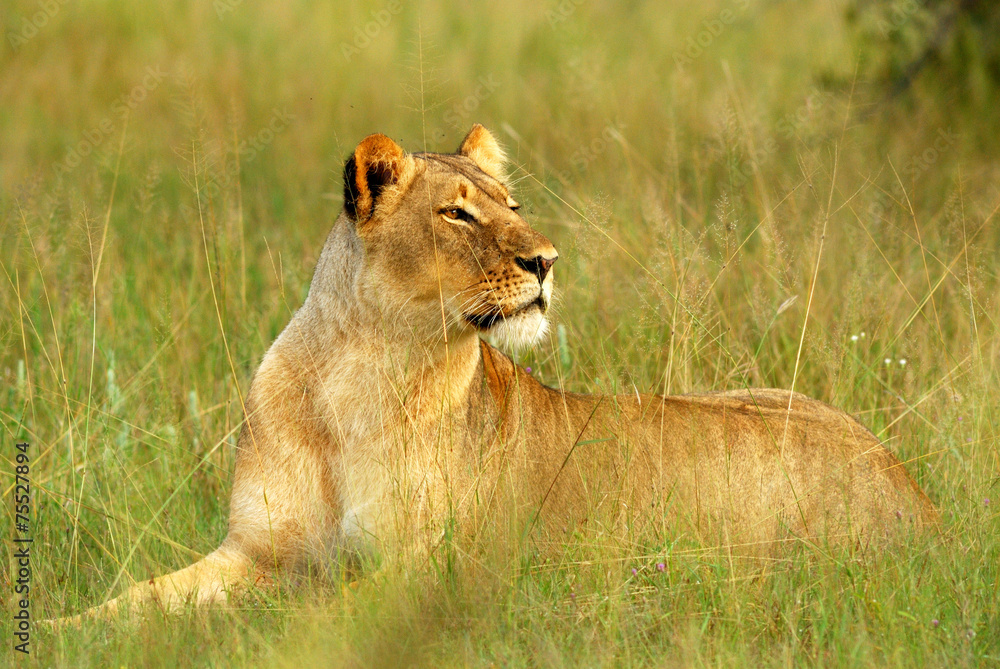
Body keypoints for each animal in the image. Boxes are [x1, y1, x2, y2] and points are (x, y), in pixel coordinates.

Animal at [61, 124, 937, 624]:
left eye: (511, 204)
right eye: (457, 212)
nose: (545, 260)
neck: (359, 370)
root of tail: (915, 490)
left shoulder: (429, 568)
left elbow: (311, 616)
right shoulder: (253, 551)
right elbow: (138, 598)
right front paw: (71, 631)